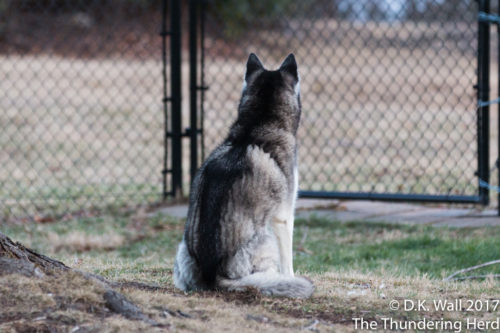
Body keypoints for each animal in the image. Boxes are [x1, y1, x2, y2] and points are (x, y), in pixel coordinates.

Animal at [172, 53, 312, 296]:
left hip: (181, 250)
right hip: (267, 241)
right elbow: (289, 262)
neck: (257, 125)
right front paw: (291, 277)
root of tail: (214, 277)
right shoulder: (284, 216)